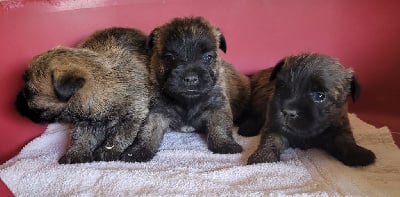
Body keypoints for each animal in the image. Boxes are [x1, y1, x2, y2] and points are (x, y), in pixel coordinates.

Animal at [15, 27, 150, 163]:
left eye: (28, 91)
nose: (15, 102)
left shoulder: (133, 116)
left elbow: (119, 136)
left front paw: (107, 151)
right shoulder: (84, 121)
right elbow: (81, 136)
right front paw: (76, 153)